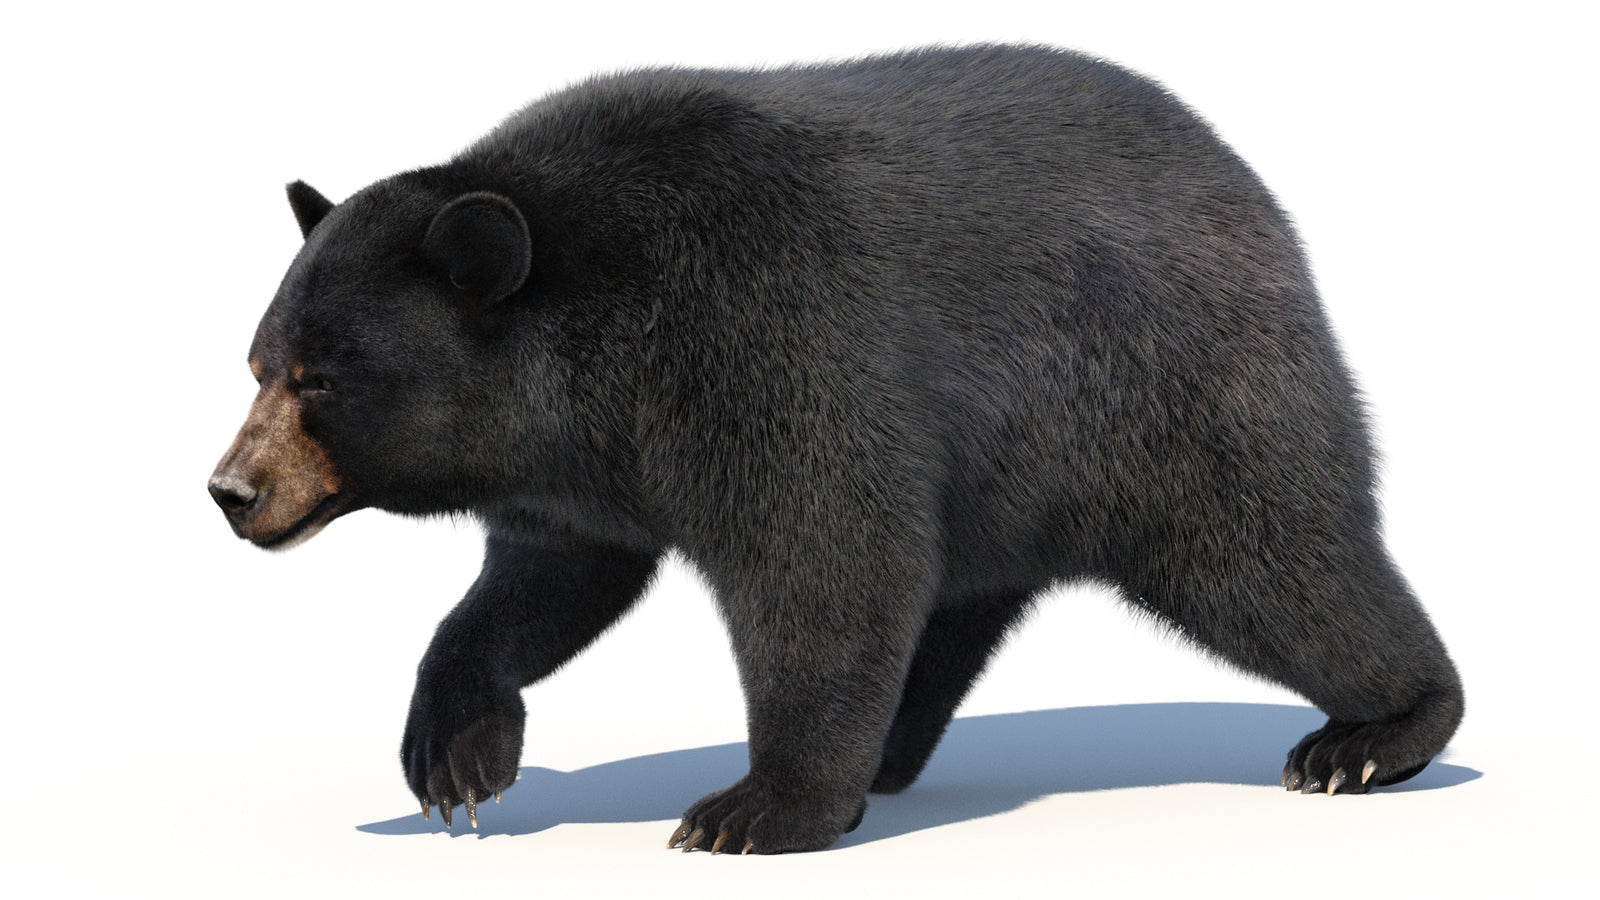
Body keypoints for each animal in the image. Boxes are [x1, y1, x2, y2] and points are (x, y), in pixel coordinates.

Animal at [209, 44, 1463, 854]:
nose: (232, 490)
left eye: (322, 379)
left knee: (1277, 562)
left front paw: (756, 810)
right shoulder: (582, 466)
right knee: (957, 599)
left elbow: (824, 559)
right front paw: (453, 755)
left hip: (1169, 398)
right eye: (259, 361)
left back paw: (1370, 734)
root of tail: (1253, 196)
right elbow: (545, 582)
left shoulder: (763, 338)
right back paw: (895, 751)